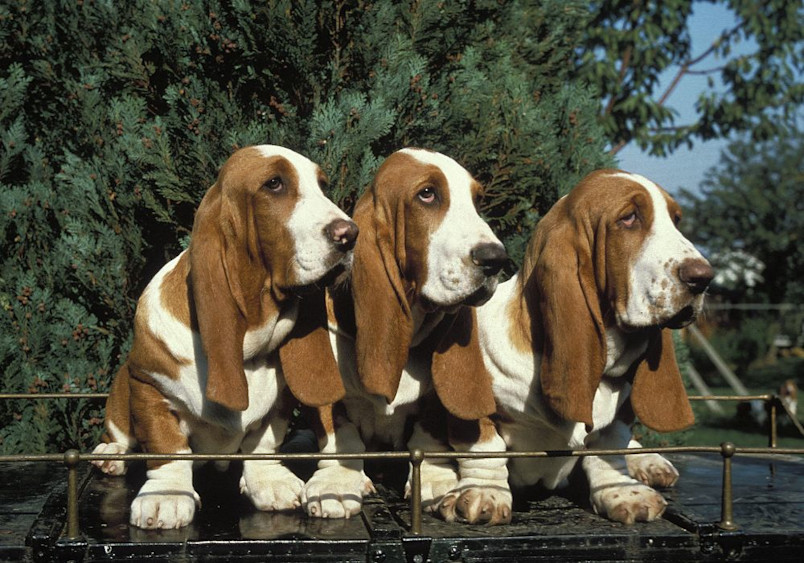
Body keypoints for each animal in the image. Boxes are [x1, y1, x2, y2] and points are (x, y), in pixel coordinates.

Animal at [91, 145, 358, 528]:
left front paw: (269, 481)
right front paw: (167, 495)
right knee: (120, 432)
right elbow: (166, 444)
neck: (248, 349)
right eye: (274, 184)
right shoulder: (147, 387)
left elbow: (263, 442)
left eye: (322, 185)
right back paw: (111, 453)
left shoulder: (279, 404)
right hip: (120, 391)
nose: (350, 234)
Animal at [298, 149, 512, 524]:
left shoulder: (436, 405)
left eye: (477, 200)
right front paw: (336, 484)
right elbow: (339, 432)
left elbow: (430, 433)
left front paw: (438, 481)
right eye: (427, 194)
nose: (495, 258)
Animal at [478, 171, 708, 524]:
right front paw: (480, 493)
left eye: (676, 220)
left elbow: (610, 444)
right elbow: (486, 445)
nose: (704, 277)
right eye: (629, 218)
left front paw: (623, 492)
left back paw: (649, 461)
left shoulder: (619, 419)